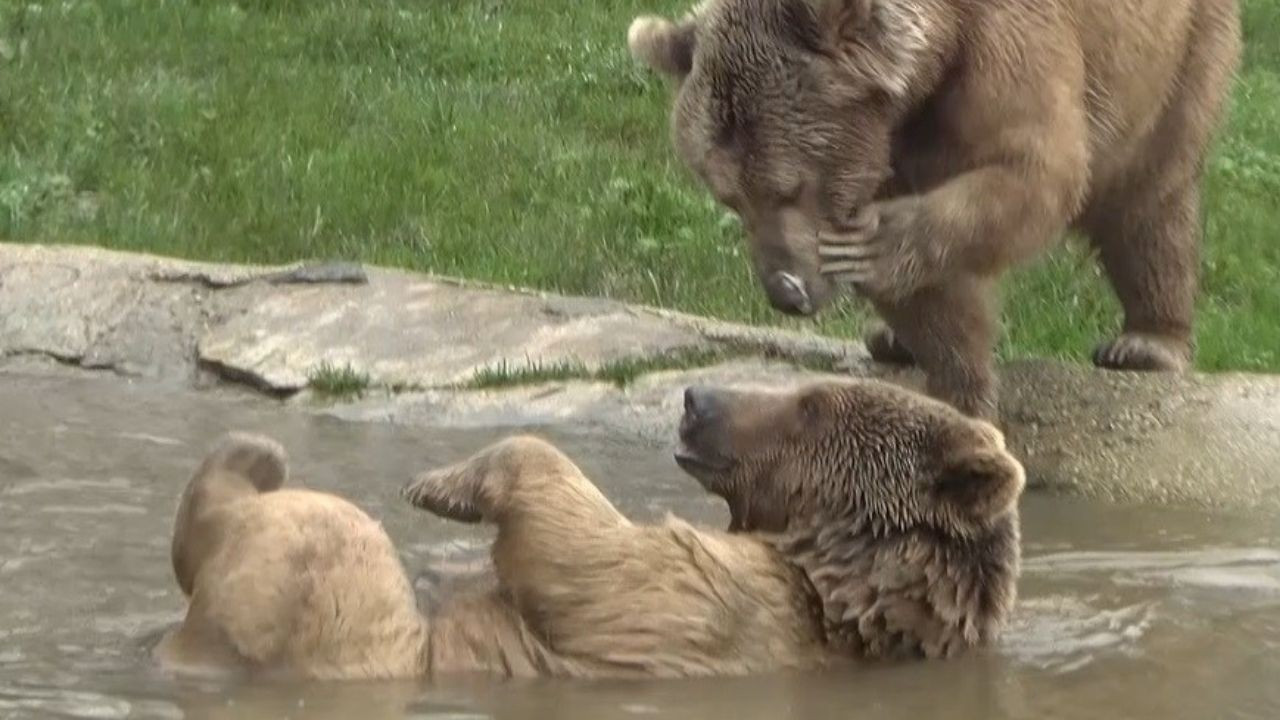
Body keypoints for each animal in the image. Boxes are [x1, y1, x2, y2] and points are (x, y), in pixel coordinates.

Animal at [627, 0, 1239, 417]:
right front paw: (960, 388)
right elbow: (935, 299)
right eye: (729, 196)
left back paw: (1147, 342)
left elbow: (1036, 169)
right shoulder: (890, 139)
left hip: (1178, 51)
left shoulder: (1003, 49)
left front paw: (873, 246)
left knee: (1150, 194)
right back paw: (890, 340)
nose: (786, 291)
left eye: (789, 187)